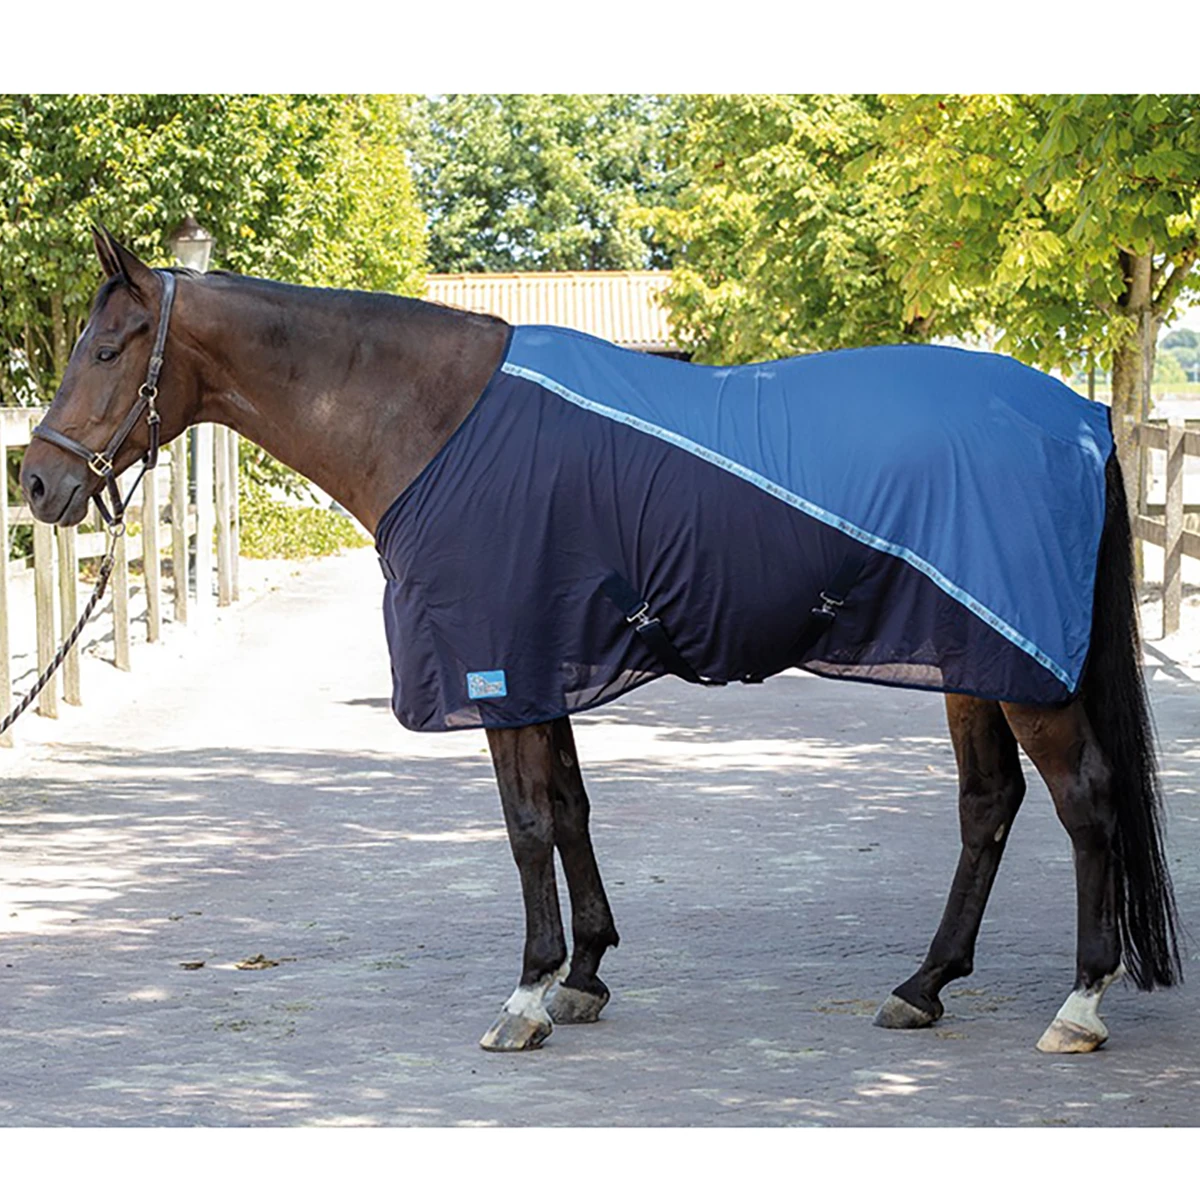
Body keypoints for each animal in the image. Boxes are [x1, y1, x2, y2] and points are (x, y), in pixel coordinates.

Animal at [19, 229, 1180, 1055]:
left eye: (109, 347)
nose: (37, 481)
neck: (432, 421)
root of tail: (1079, 417)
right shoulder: (544, 667)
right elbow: (571, 810)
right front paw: (583, 977)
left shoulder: (495, 666)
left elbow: (526, 823)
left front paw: (528, 993)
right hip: (970, 659)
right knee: (990, 806)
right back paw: (922, 987)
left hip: (1025, 669)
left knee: (1086, 800)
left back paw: (1078, 1006)